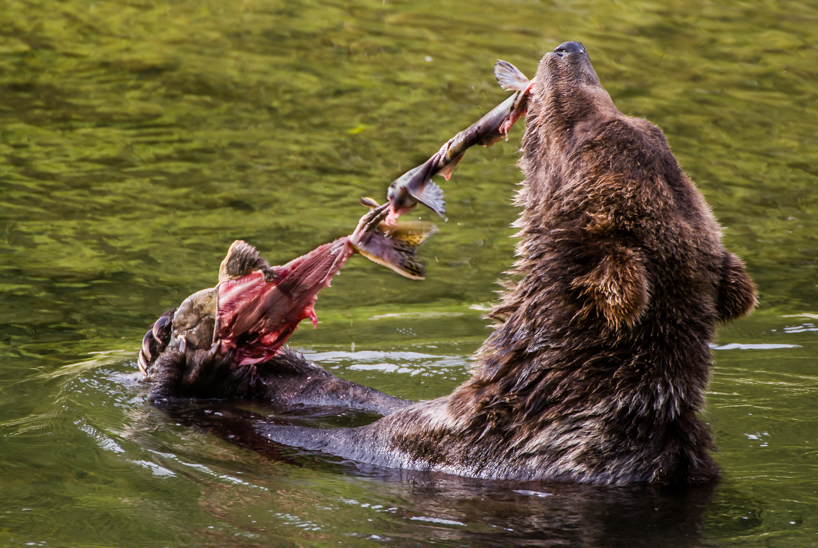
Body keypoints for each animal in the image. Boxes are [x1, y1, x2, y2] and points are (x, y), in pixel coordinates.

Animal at [141, 41, 756, 485]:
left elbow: (317, 440)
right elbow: (371, 397)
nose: (568, 50)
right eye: (650, 128)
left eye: (593, 132)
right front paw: (251, 360)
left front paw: (197, 371)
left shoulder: (465, 448)